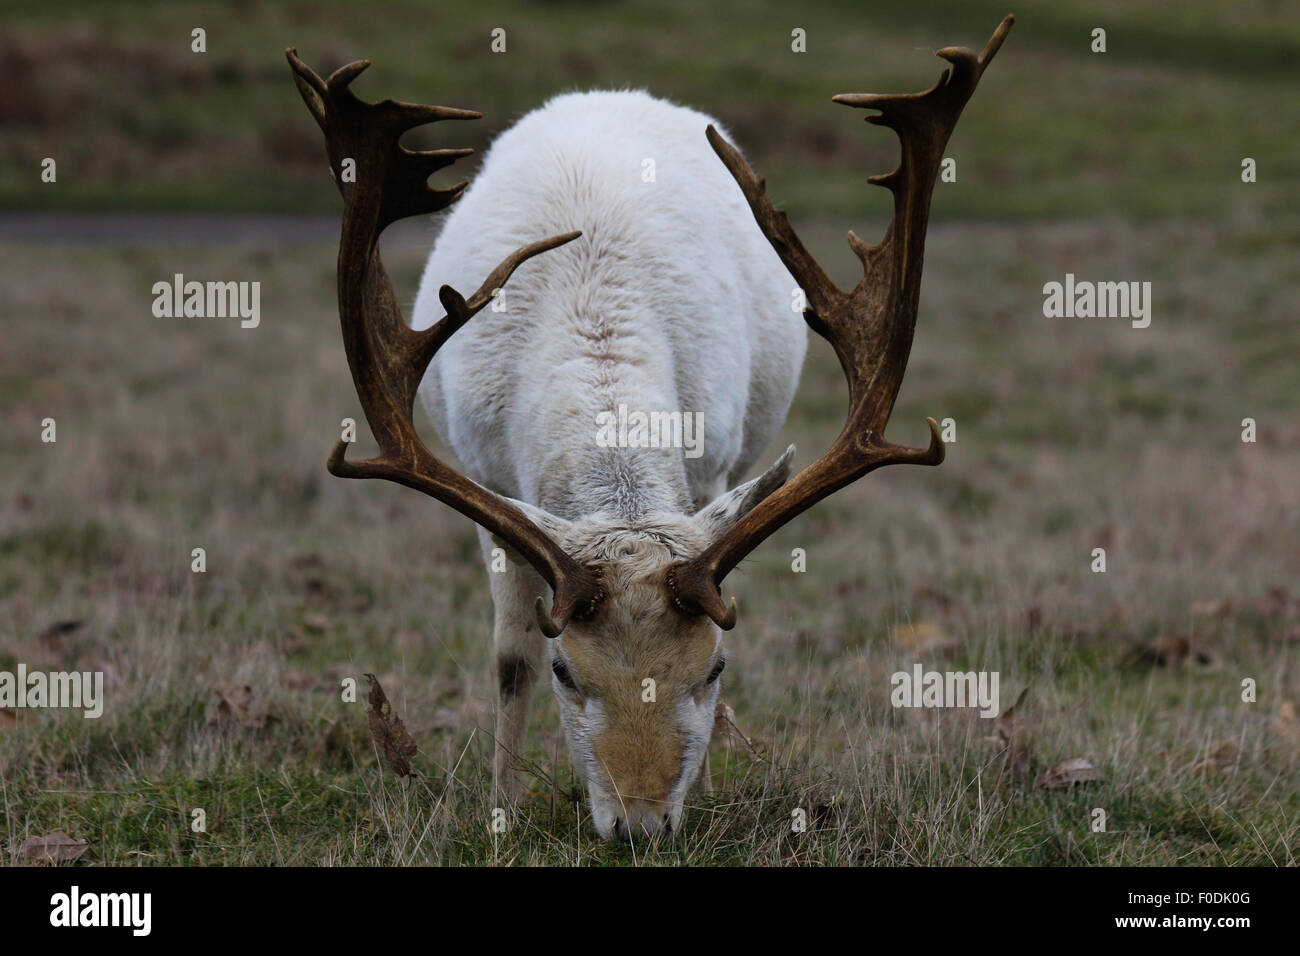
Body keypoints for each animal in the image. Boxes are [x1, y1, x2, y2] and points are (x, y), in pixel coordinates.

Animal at [289, 13, 1008, 837]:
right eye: (567, 669)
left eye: (714, 667)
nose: (639, 827)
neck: (592, 313)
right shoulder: (485, 475)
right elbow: (507, 656)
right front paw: (502, 807)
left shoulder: (714, 460)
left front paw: (703, 793)